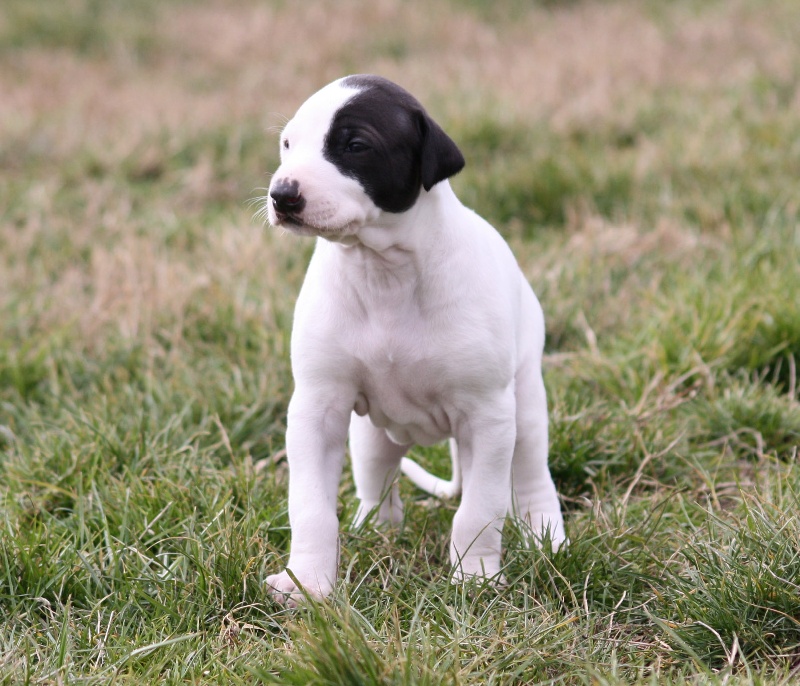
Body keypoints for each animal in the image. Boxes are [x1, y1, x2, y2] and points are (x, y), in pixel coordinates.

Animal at [262, 74, 564, 608]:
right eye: (288, 145)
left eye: (355, 146)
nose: (282, 195)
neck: (384, 271)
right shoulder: (317, 409)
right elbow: (311, 508)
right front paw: (308, 584)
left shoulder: (487, 418)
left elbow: (480, 510)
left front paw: (476, 579)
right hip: (370, 437)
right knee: (378, 481)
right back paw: (375, 528)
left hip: (523, 411)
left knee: (530, 477)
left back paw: (547, 536)